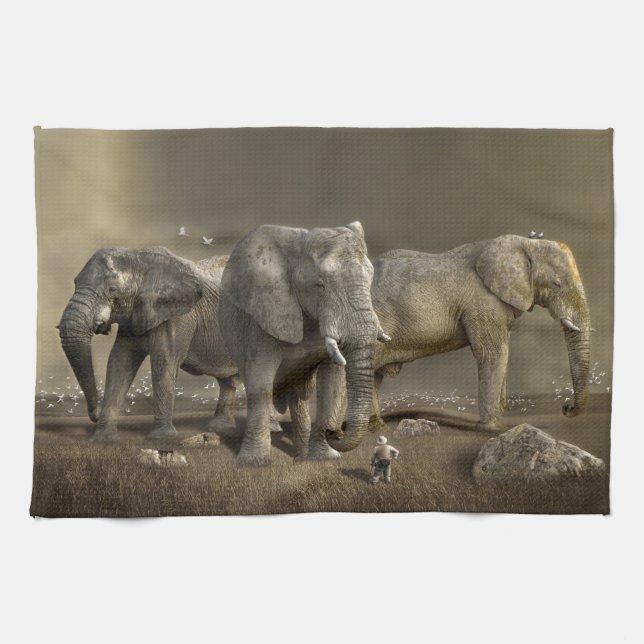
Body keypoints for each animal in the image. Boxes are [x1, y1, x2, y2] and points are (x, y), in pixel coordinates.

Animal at [58, 247, 251, 442]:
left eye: (112, 290)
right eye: (75, 283)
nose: (94, 415)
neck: (140, 257)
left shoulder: (178, 315)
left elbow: (164, 360)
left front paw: (161, 438)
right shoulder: (134, 315)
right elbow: (119, 362)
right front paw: (103, 439)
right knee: (228, 381)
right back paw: (220, 427)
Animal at [218, 221, 391, 464]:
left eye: (370, 280)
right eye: (320, 285)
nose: (333, 432)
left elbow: (332, 382)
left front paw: (325, 458)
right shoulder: (264, 315)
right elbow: (261, 381)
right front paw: (253, 464)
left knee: (299, 397)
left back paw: (301, 455)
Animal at [316, 233, 591, 446]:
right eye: (557, 283)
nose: (566, 407)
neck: (525, 244)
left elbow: (501, 352)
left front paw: (499, 423)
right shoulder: (483, 303)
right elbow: (493, 353)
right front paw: (491, 429)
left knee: (372, 374)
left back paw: (374, 429)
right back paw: (335, 435)